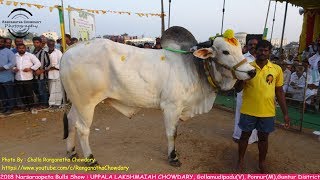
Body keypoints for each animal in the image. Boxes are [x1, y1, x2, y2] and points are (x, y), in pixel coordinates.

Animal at [59, 26, 255, 166]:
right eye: (225, 51)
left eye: (240, 48)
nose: (252, 72)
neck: (195, 67)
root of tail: (70, 50)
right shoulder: (171, 107)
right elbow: (172, 133)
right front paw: (173, 157)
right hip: (86, 103)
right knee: (83, 129)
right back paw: (90, 159)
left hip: (77, 103)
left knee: (71, 121)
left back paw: (72, 152)